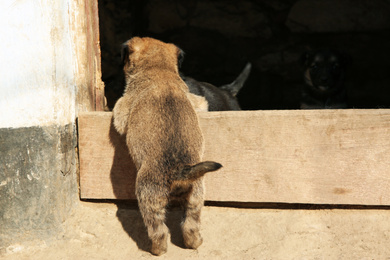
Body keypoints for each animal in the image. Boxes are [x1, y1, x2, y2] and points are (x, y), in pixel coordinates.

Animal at [112, 36, 222, 256]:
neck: (159, 69)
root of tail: (181, 171)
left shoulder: (122, 107)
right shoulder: (198, 101)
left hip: (149, 197)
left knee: (158, 230)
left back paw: (157, 250)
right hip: (196, 197)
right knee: (190, 226)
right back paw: (195, 242)